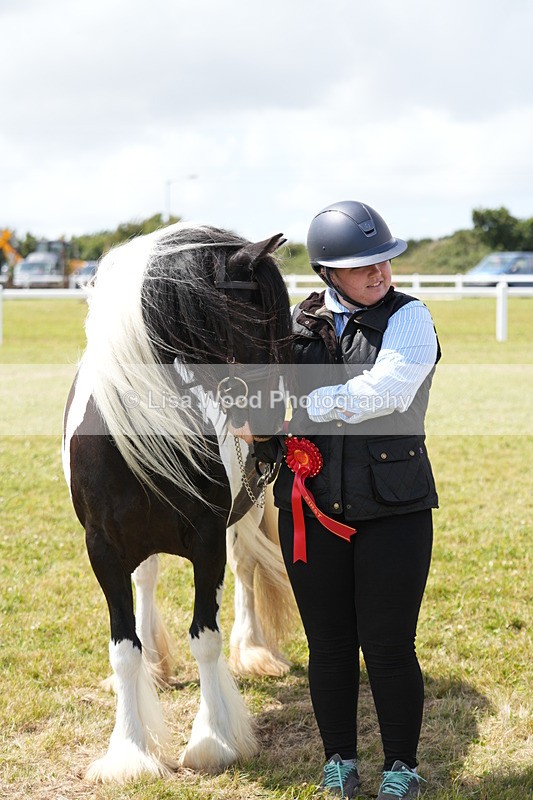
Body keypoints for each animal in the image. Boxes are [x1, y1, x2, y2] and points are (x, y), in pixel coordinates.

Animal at [62, 222, 293, 782]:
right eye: (265, 323)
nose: (272, 441)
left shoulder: (207, 542)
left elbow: (205, 637)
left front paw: (213, 741)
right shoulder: (102, 551)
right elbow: (122, 649)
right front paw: (129, 752)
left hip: (247, 514)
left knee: (246, 569)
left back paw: (253, 651)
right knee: (145, 579)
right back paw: (156, 666)